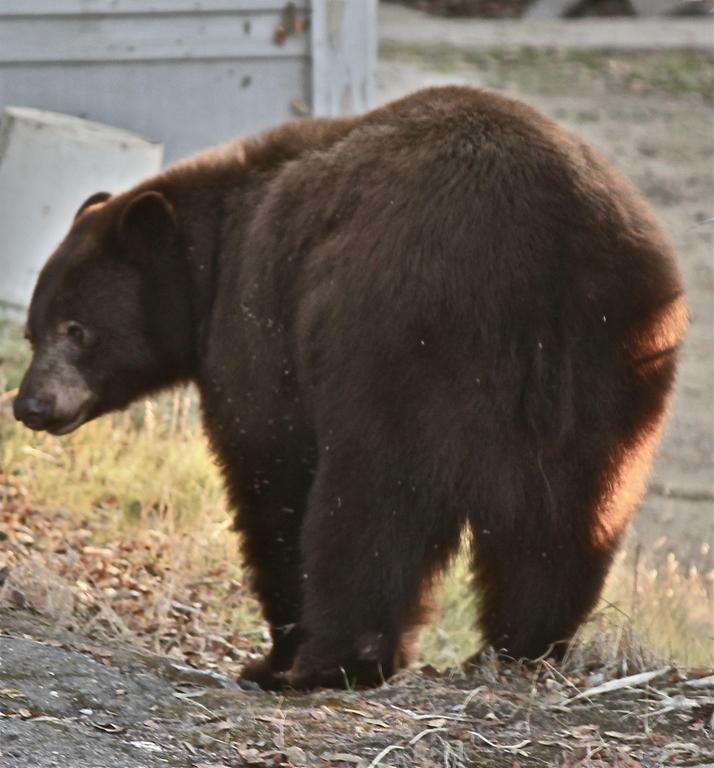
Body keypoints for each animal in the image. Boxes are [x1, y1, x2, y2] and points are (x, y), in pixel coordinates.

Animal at [12, 87, 684, 688]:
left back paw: (330, 664)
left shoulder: (257, 316)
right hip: (613, 359)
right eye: (32, 330)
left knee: (371, 502)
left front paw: (271, 655)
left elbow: (271, 468)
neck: (216, 246)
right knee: (572, 514)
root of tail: (548, 249)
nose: (29, 405)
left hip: (401, 338)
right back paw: (523, 645)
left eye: (77, 329)